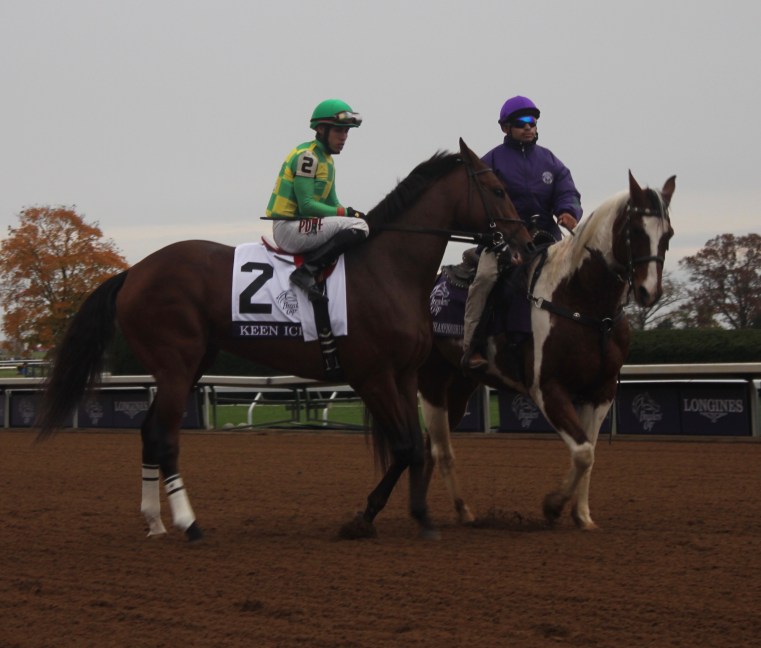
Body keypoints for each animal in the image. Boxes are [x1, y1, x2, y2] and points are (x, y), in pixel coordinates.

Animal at [35, 139, 535, 542]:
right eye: (497, 190)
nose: (526, 242)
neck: (386, 270)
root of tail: (133, 272)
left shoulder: (406, 374)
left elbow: (414, 447)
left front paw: (405, 515)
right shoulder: (371, 375)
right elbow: (405, 447)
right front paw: (380, 518)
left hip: (191, 362)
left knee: (147, 432)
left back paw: (155, 521)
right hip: (176, 364)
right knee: (164, 435)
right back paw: (188, 523)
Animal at [418, 172, 675, 528]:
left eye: (668, 234)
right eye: (636, 230)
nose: (649, 291)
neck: (581, 303)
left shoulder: (602, 392)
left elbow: (590, 452)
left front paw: (582, 515)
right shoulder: (547, 389)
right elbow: (582, 452)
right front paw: (553, 506)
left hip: (459, 386)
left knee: (432, 446)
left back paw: (453, 510)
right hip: (431, 381)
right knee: (437, 448)